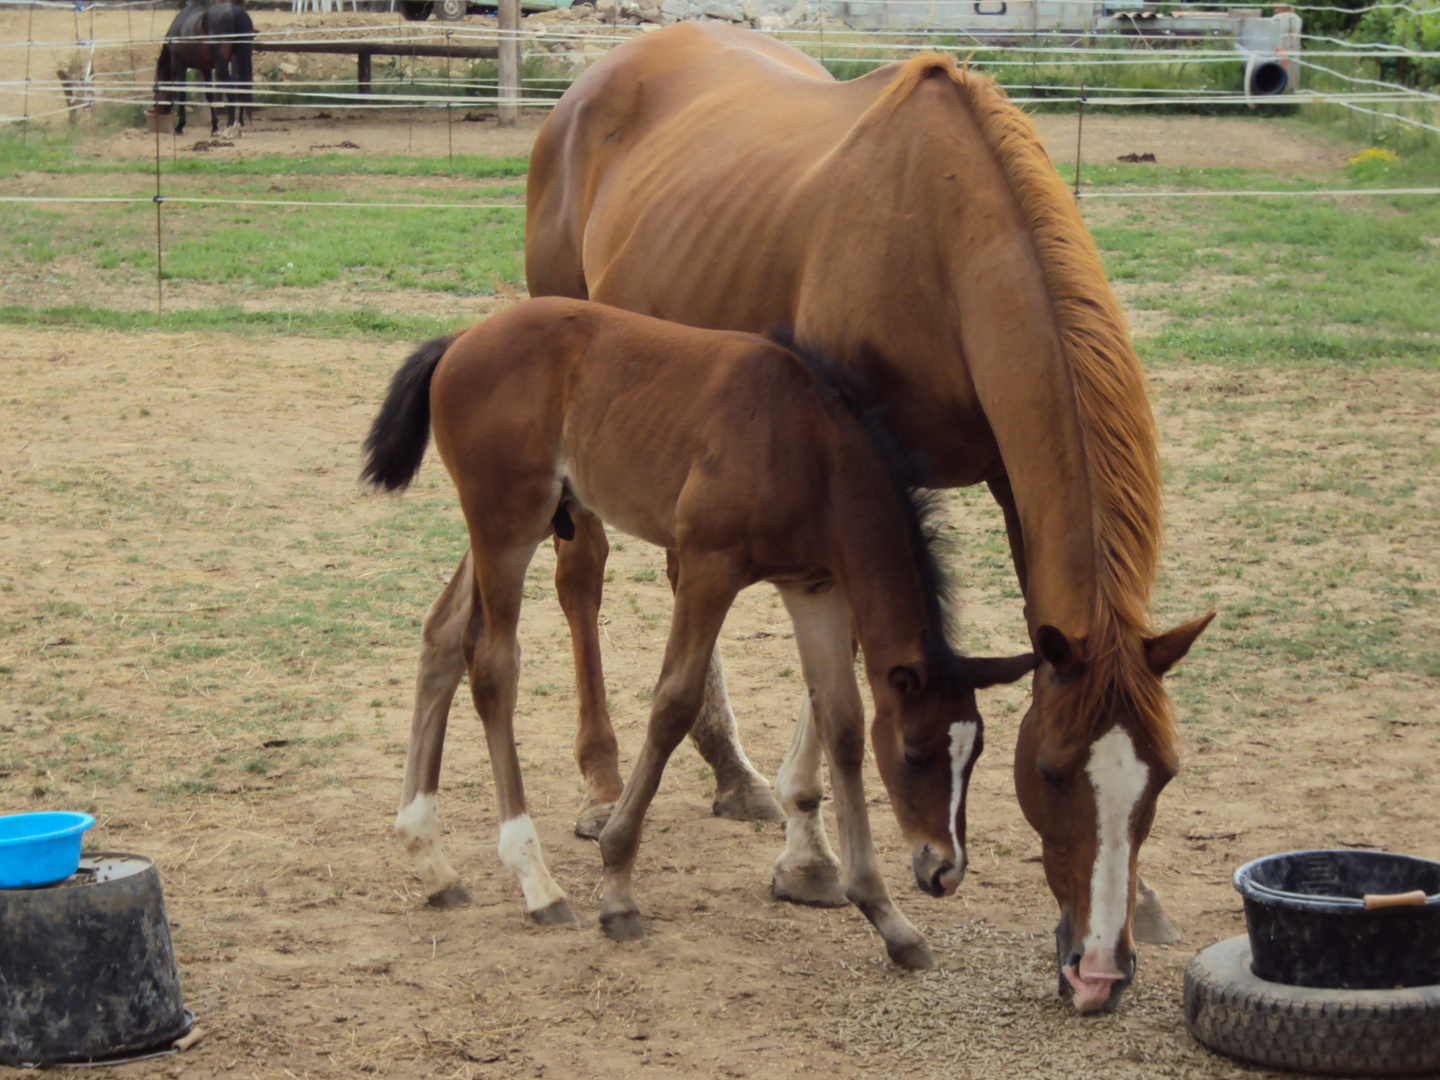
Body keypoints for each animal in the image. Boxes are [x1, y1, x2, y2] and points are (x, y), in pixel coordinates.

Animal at [154, 1, 253, 137]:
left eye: (155, 92)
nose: (156, 110)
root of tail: (234, 11)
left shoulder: (179, 64)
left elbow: (182, 93)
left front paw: (180, 126)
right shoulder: (206, 69)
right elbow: (209, 96)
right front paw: (214, 127)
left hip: (221, 66)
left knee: (231, 91)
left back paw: (229, 126)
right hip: (240, 60)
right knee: (242, 89)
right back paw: (239, 123)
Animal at [362, 300, 1036, 967]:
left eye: (976, 753)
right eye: (915, 753)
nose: (945, 870)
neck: (807, 444)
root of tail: (459, 340)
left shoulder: (815, 588)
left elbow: (841, 723)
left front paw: (888, 918)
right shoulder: (709, 564)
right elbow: (674, 703)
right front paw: (617, 887)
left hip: (513, 523)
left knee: (442, 637)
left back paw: (432, 862)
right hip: (508, 520)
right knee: (493, 663)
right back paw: (537, 882)